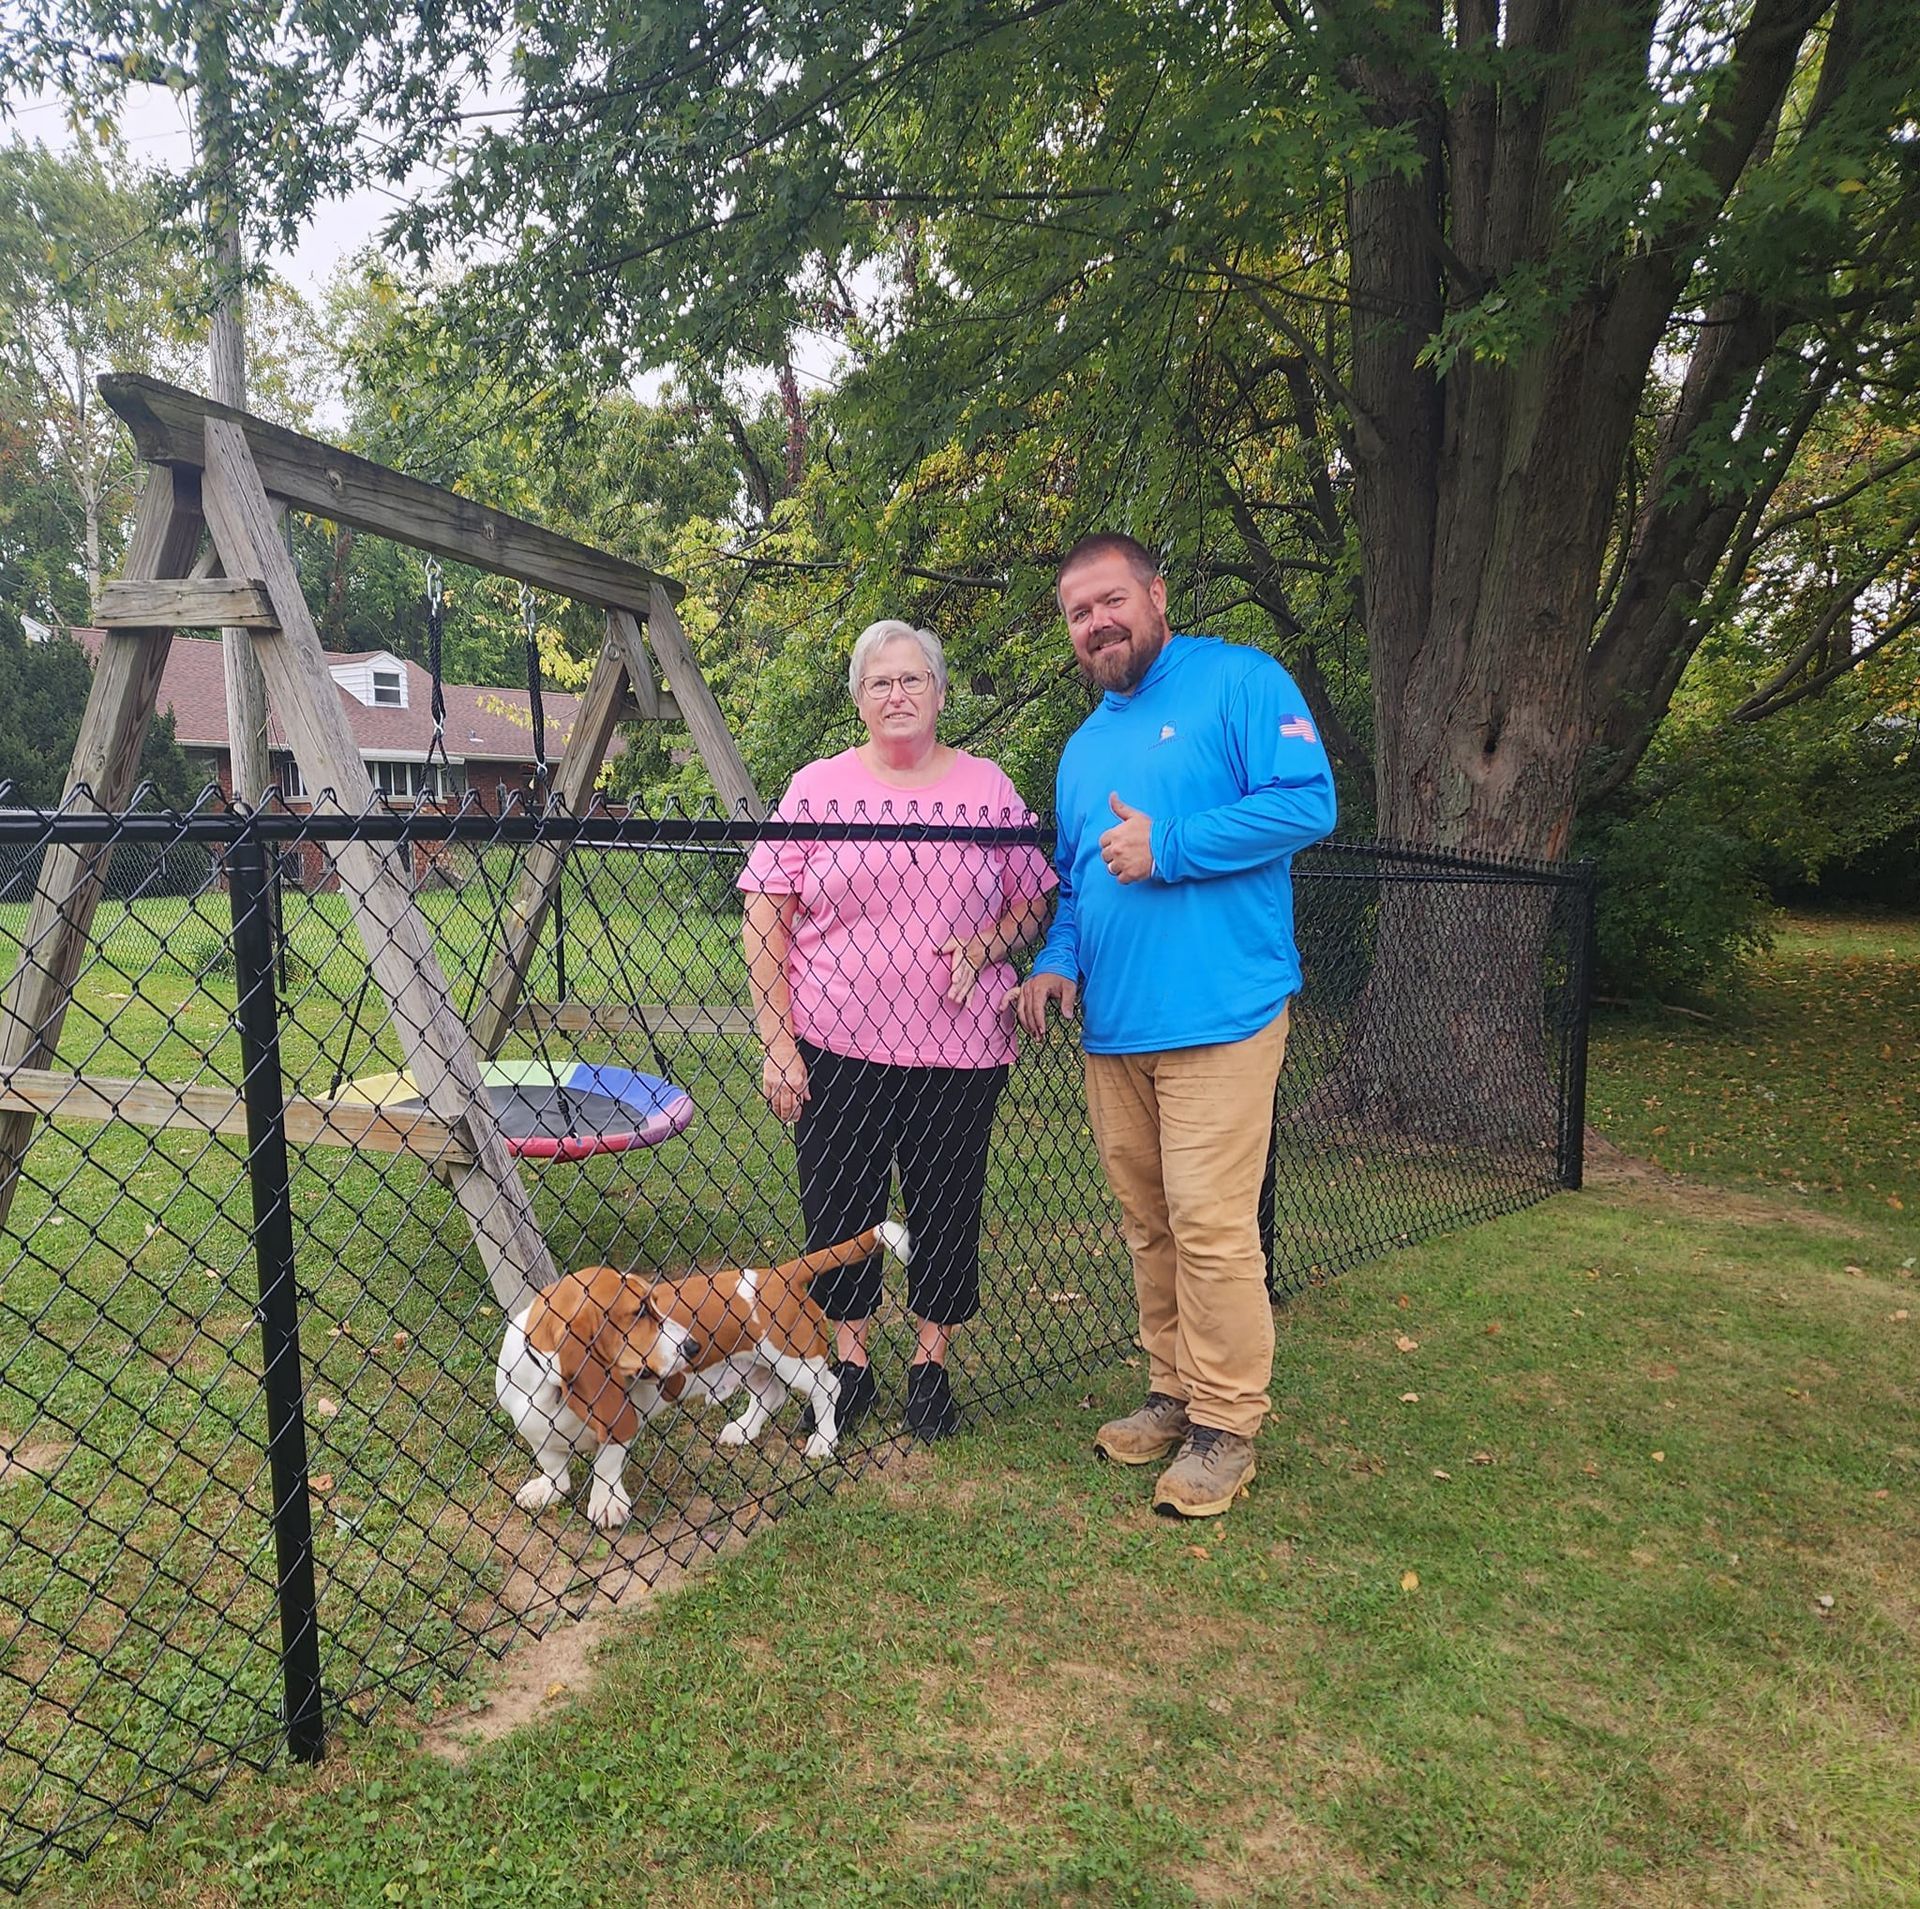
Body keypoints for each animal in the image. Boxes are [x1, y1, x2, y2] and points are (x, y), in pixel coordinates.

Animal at [495, 1229, 913, 1528]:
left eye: (654, 1303)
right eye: (638, 1313)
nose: (693, 1346)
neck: (550, 1388)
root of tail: (778, 1275)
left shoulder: (621, 1423)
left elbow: (606, 1465)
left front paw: (606, 1503)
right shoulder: (537, 1434)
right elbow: (554, 1470)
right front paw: (545, 1490)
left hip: (794, 1360)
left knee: (829, 1387)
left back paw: (823, 1440)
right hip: (755, 1364)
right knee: (769, 1396)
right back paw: (742, 1430)